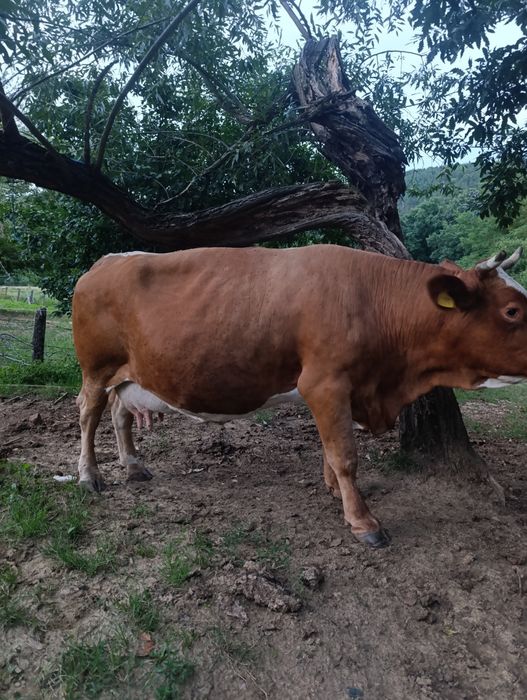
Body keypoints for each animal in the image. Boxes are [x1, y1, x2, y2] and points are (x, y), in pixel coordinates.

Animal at [72, 244, 527, 548]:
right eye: (512, 311)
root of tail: (104, 261)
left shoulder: (342, 389)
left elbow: (330, 449)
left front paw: (334, 492)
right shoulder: (325, 383)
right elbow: (345, 454)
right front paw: (363, 521)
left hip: (129, 375)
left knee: (120, 412)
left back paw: (133, 465)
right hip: (96, 368)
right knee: (89, 413)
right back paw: (89, 475)